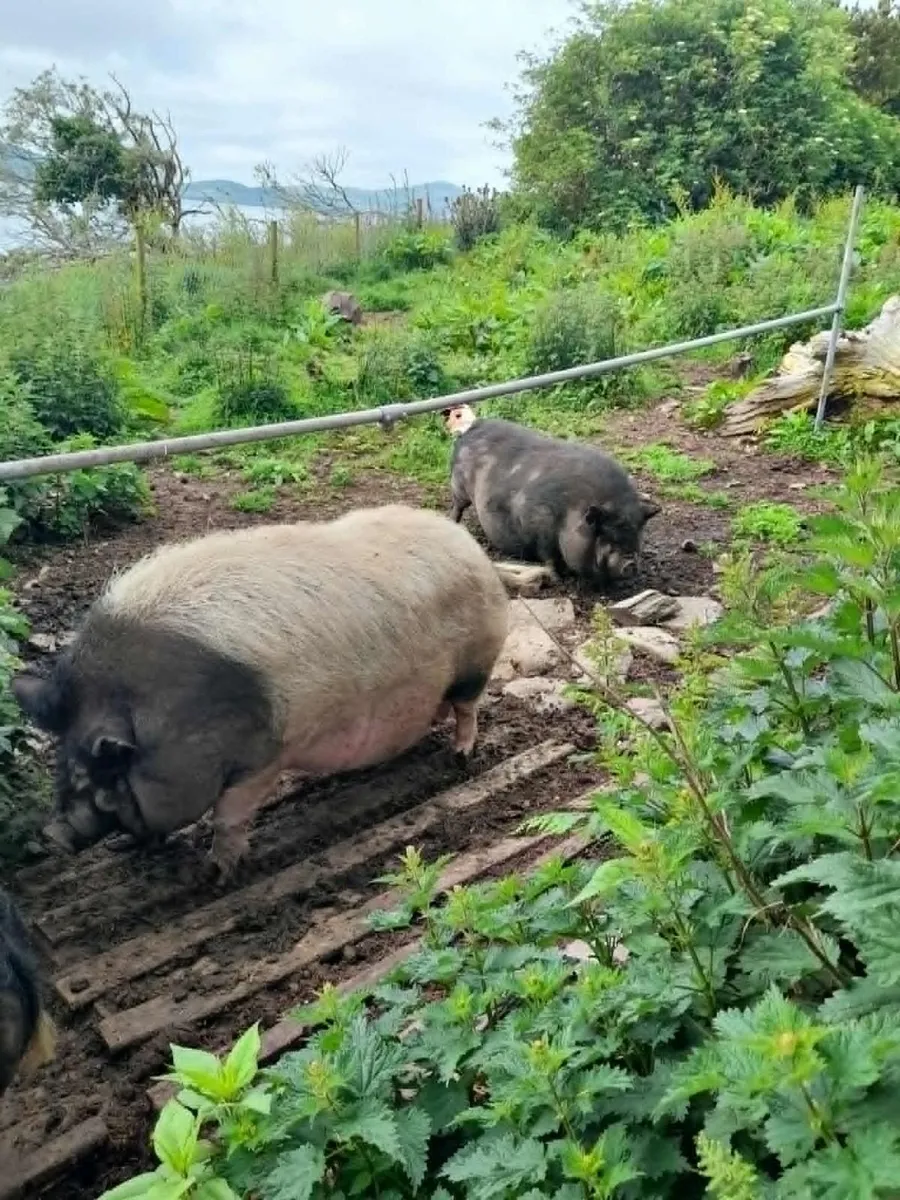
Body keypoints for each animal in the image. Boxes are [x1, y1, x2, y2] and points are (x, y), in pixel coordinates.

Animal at [12, 505, 510, 880]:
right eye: (62, 762)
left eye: (94, 772)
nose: (52, 837)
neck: (163, 718)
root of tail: (468, 546)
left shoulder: (264, 757)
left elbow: (228, 817)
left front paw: (214, 875)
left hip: (475, 663)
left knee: (467, 709)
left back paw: (460, 756)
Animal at [444, 404, 661, 587]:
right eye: (608, 536)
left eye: (636, 536)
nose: (630, 564)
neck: (570, 511)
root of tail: (472, 427)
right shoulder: (539, 526)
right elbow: (549, 557)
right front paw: (558, 579)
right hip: (458, 485)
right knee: (458, 506)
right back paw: (453, 523)